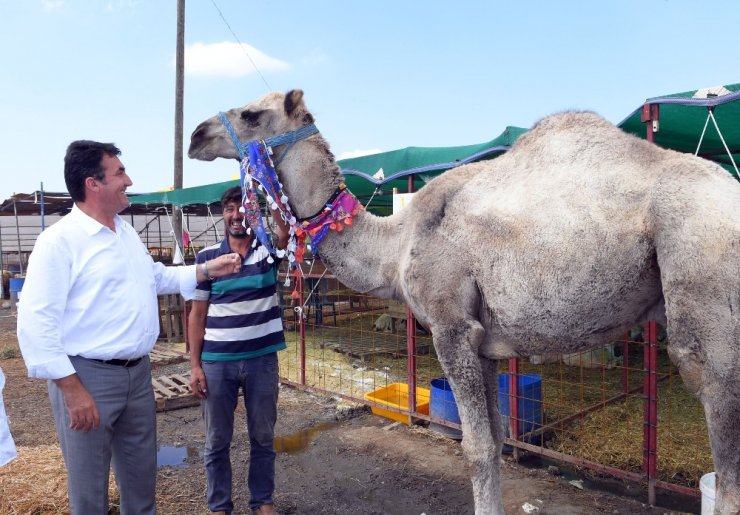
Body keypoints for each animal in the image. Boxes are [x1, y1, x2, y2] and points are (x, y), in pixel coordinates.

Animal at [191, 89, 740, 515]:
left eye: (251, 114)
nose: (197, 134)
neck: (397, 244)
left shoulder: (450, 326)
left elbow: (474, 448)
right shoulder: (486, 343)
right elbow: (494, 441)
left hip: (705, 294)